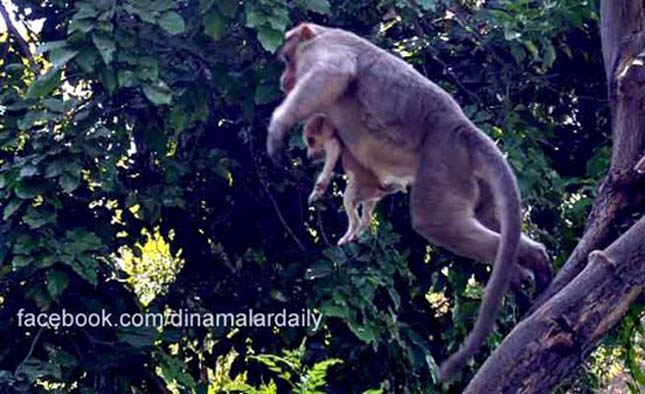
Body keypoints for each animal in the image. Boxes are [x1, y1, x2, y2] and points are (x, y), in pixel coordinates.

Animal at [302, 114, 402, 245]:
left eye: (311, 140)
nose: (308, 157)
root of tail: (381, 187)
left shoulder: (333, 146)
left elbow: (326, 172)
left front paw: (315, 194)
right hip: (370, 199)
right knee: (366, 218)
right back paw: (356, 235)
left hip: (353, 192)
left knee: (355, 220)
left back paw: (345, 238)